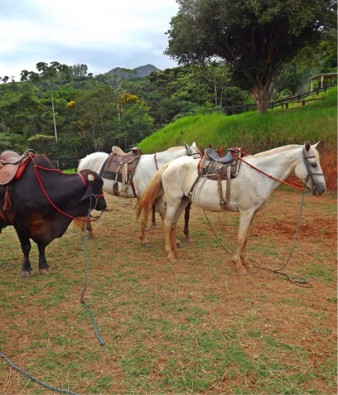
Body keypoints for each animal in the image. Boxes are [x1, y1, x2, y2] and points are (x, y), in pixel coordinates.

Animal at [136, 143, 326, 276]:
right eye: (313, 164)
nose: (322, 189)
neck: (260, 174)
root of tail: (169, 164)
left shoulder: (254, 213)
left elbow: (247, 237)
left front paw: (246, 261)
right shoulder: (246, 211)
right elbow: (241, 237)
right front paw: (238, 264)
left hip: (183, 200)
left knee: (173, 223)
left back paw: (176, 251)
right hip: (174, 201)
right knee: (168, 223)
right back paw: (170, 254)